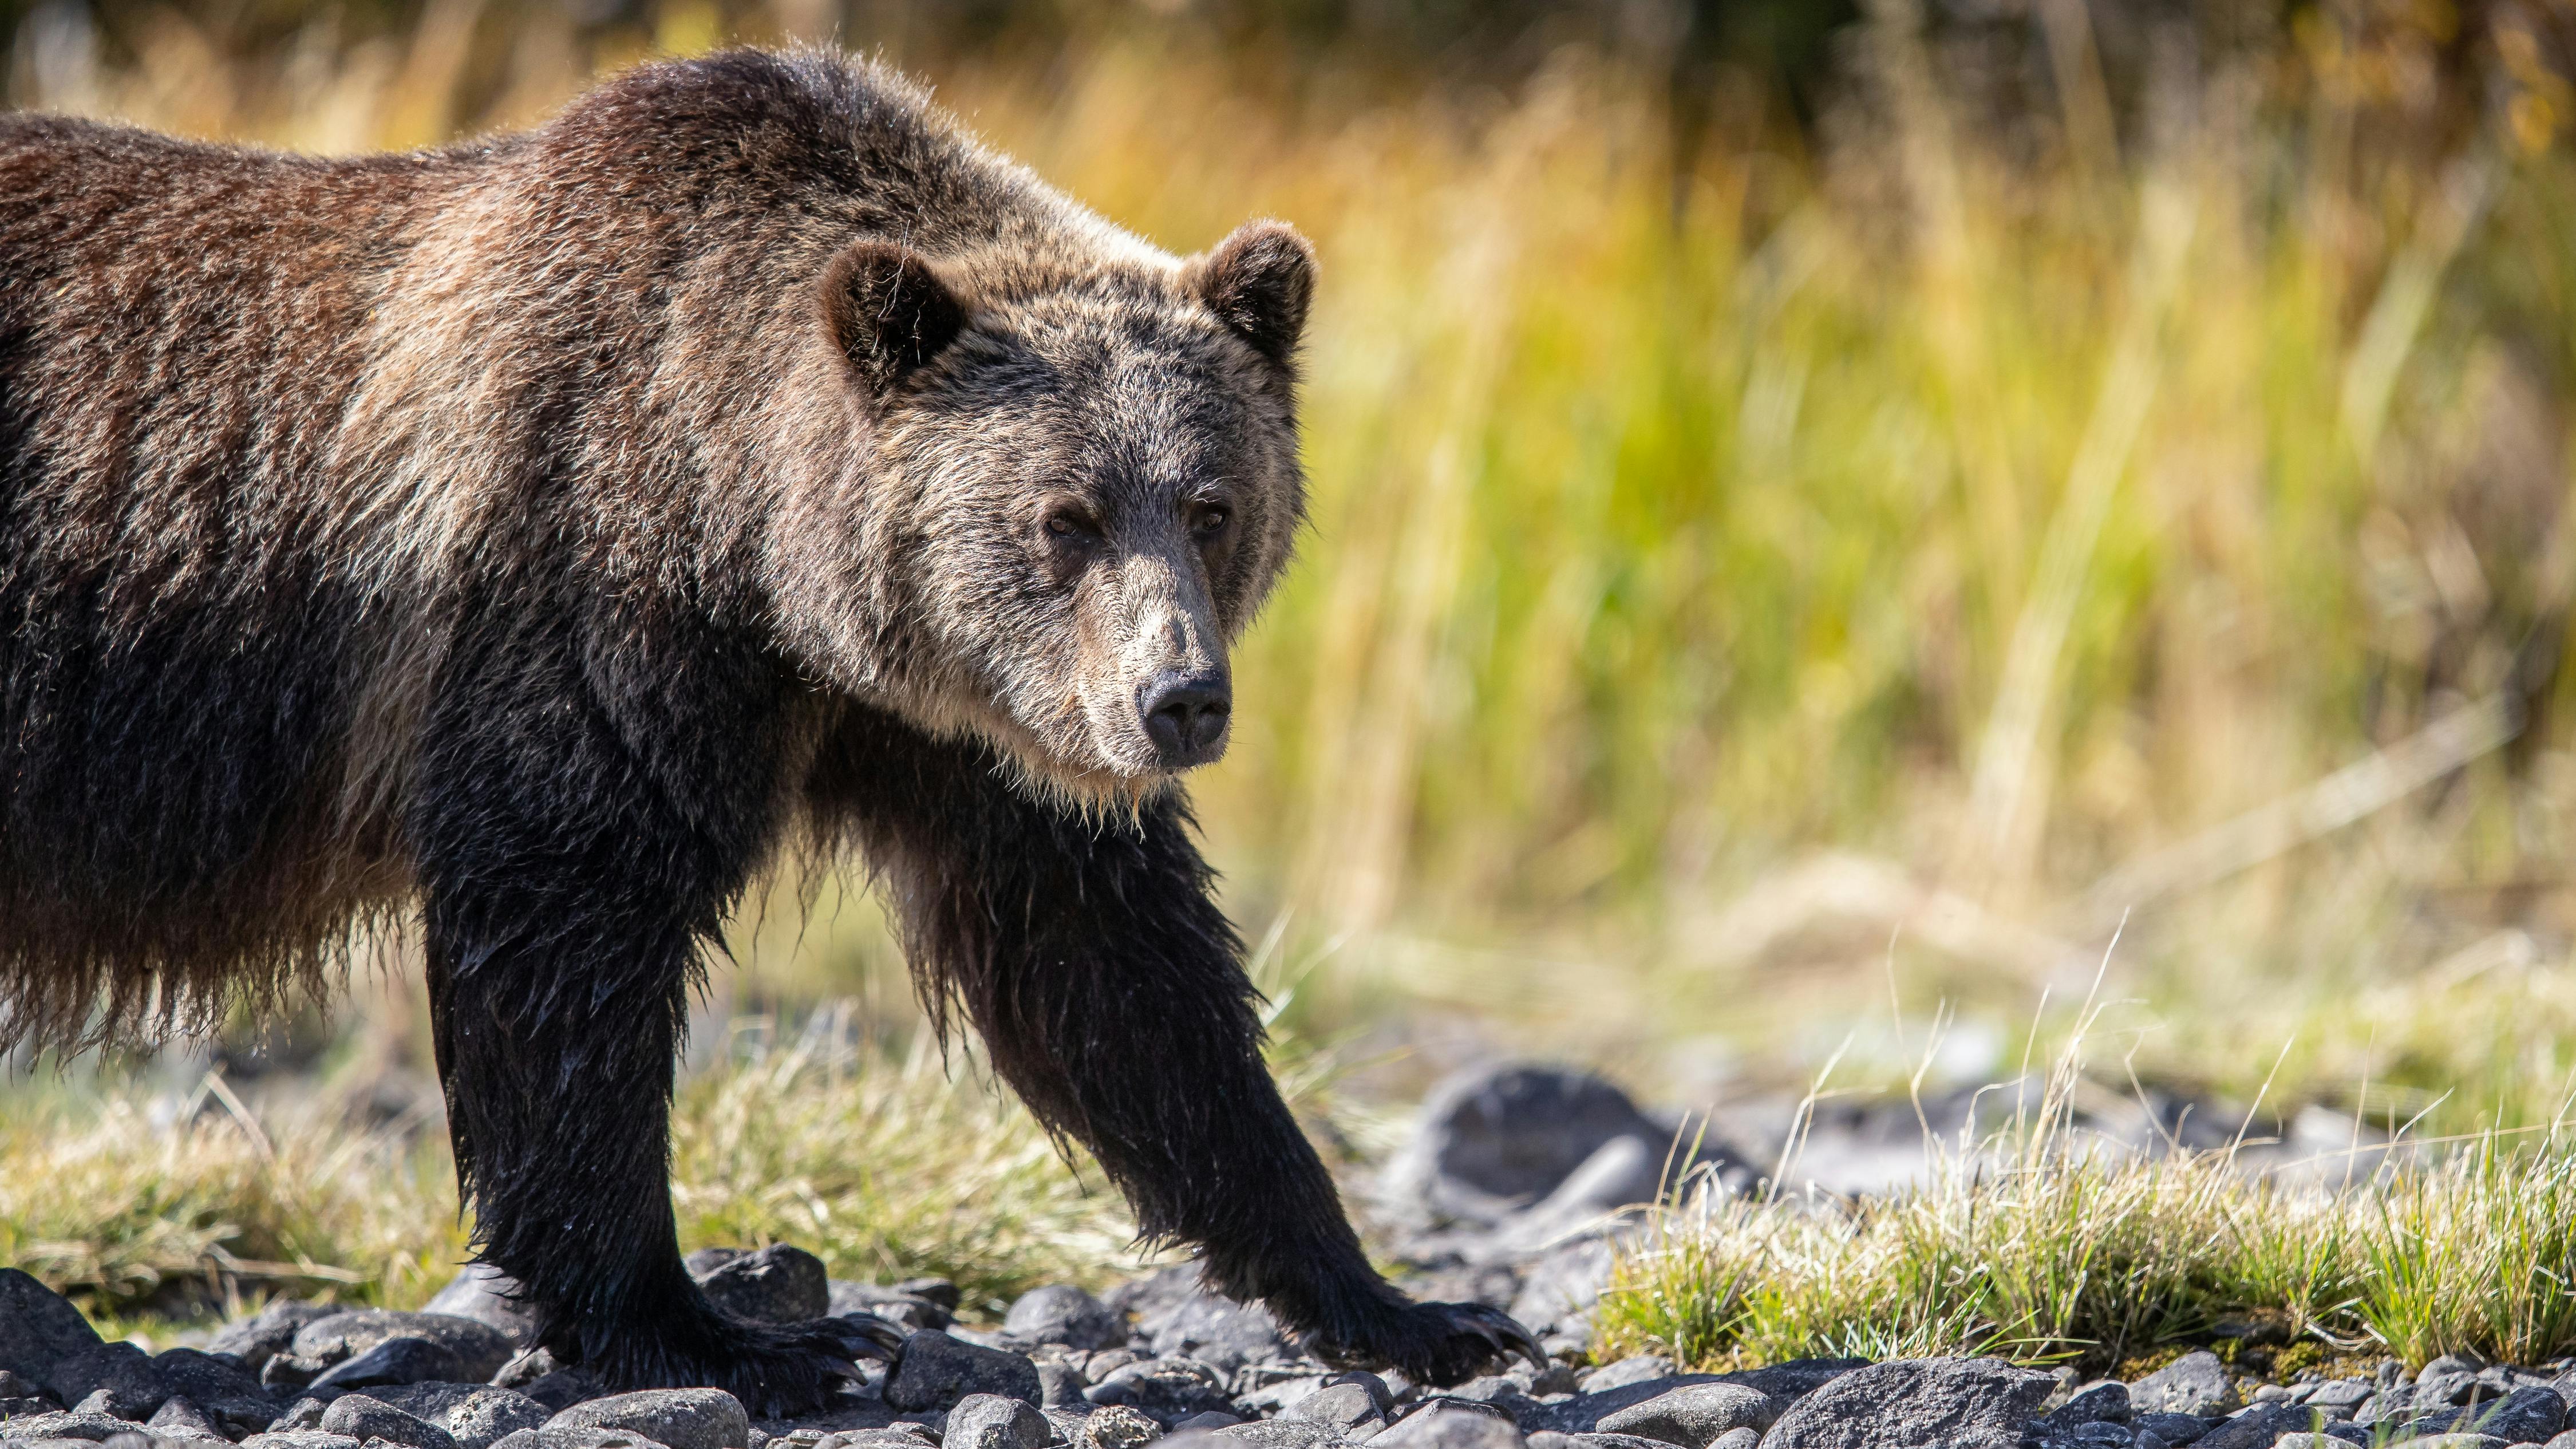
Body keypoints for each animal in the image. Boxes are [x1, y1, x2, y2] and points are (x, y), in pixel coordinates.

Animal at [0, 49, 1536, 1412]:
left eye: (1212, 502)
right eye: (1067, 514)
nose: (1179, 699)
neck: (752, 545)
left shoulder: (956, 728)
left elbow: (1118, 975)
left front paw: (1411, 1306)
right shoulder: (586, 613)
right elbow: (567, 950)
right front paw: (726, 1328)